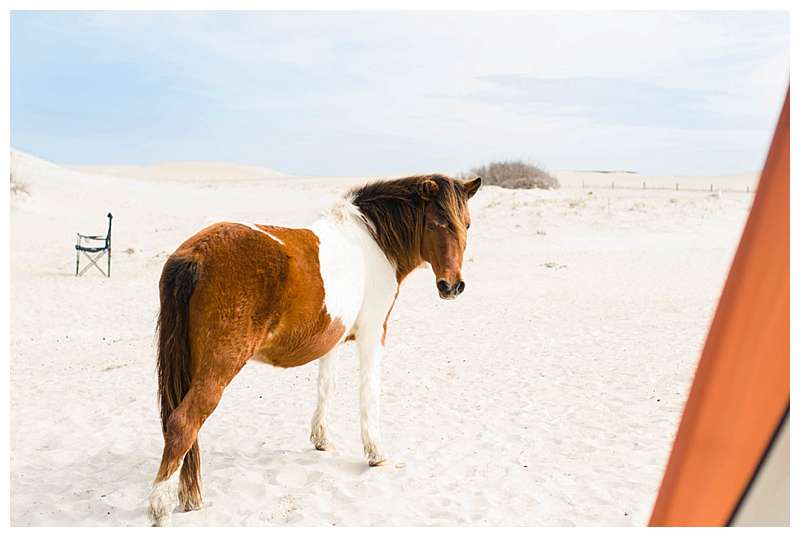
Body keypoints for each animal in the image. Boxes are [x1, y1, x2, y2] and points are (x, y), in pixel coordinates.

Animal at [148, 175, 482, 524]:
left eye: (466, 225)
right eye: (435, 223)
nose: (452, 286)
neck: (372, 243)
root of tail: (196, 255)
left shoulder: (331, 337)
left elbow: (326, 386)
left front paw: (321, 439)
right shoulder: (373, 332)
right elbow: (368, 392)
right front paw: (375, 453)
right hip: (220, 366)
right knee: (184, 422)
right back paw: (161, 505)